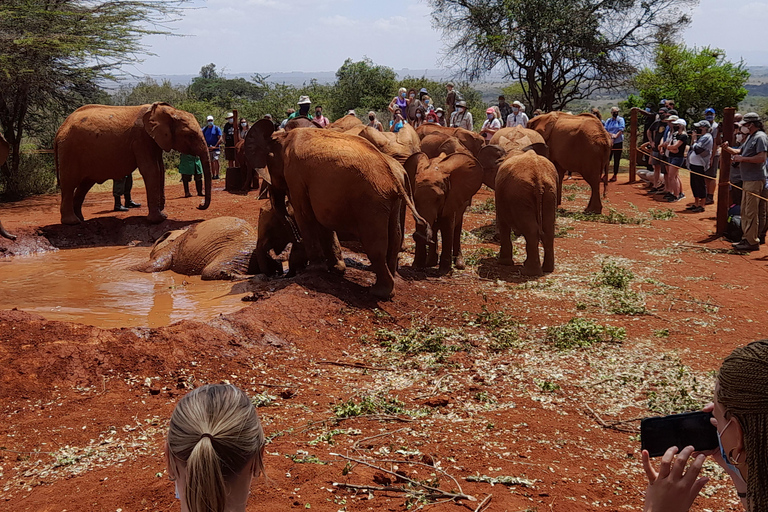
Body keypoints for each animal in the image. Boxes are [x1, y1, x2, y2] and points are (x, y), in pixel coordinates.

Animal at [54, 102, 212, 224]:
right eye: (190, 135)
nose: (199, 205)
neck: (167, 111)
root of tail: (60, 128)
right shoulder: (141, 138)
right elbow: (151, 170)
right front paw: (158, 220)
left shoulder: (154, 140)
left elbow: (160, 169)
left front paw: (163, 214)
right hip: (69, 150)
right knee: (69, 183)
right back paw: (72, 222)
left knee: (84, 185)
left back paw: (81, 219)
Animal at [243, 117, 428, 298]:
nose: (277, 271)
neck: (282, 137)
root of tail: (393, 177)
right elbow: (321, 220)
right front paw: (335, 269)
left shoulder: (295, 174)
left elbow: (305, 214)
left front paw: (314, 269)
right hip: (391, 201)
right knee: (395, 236)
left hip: (371, 201)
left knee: (374, 243)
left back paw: (379, 292)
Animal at [476, 144, 556, 276]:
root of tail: (538, 178)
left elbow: (502, 224)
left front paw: (503, 263)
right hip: (549, 193)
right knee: (548, 229)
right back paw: (547, 269)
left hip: (520, 194)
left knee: (531, 230)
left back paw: (529, 272)